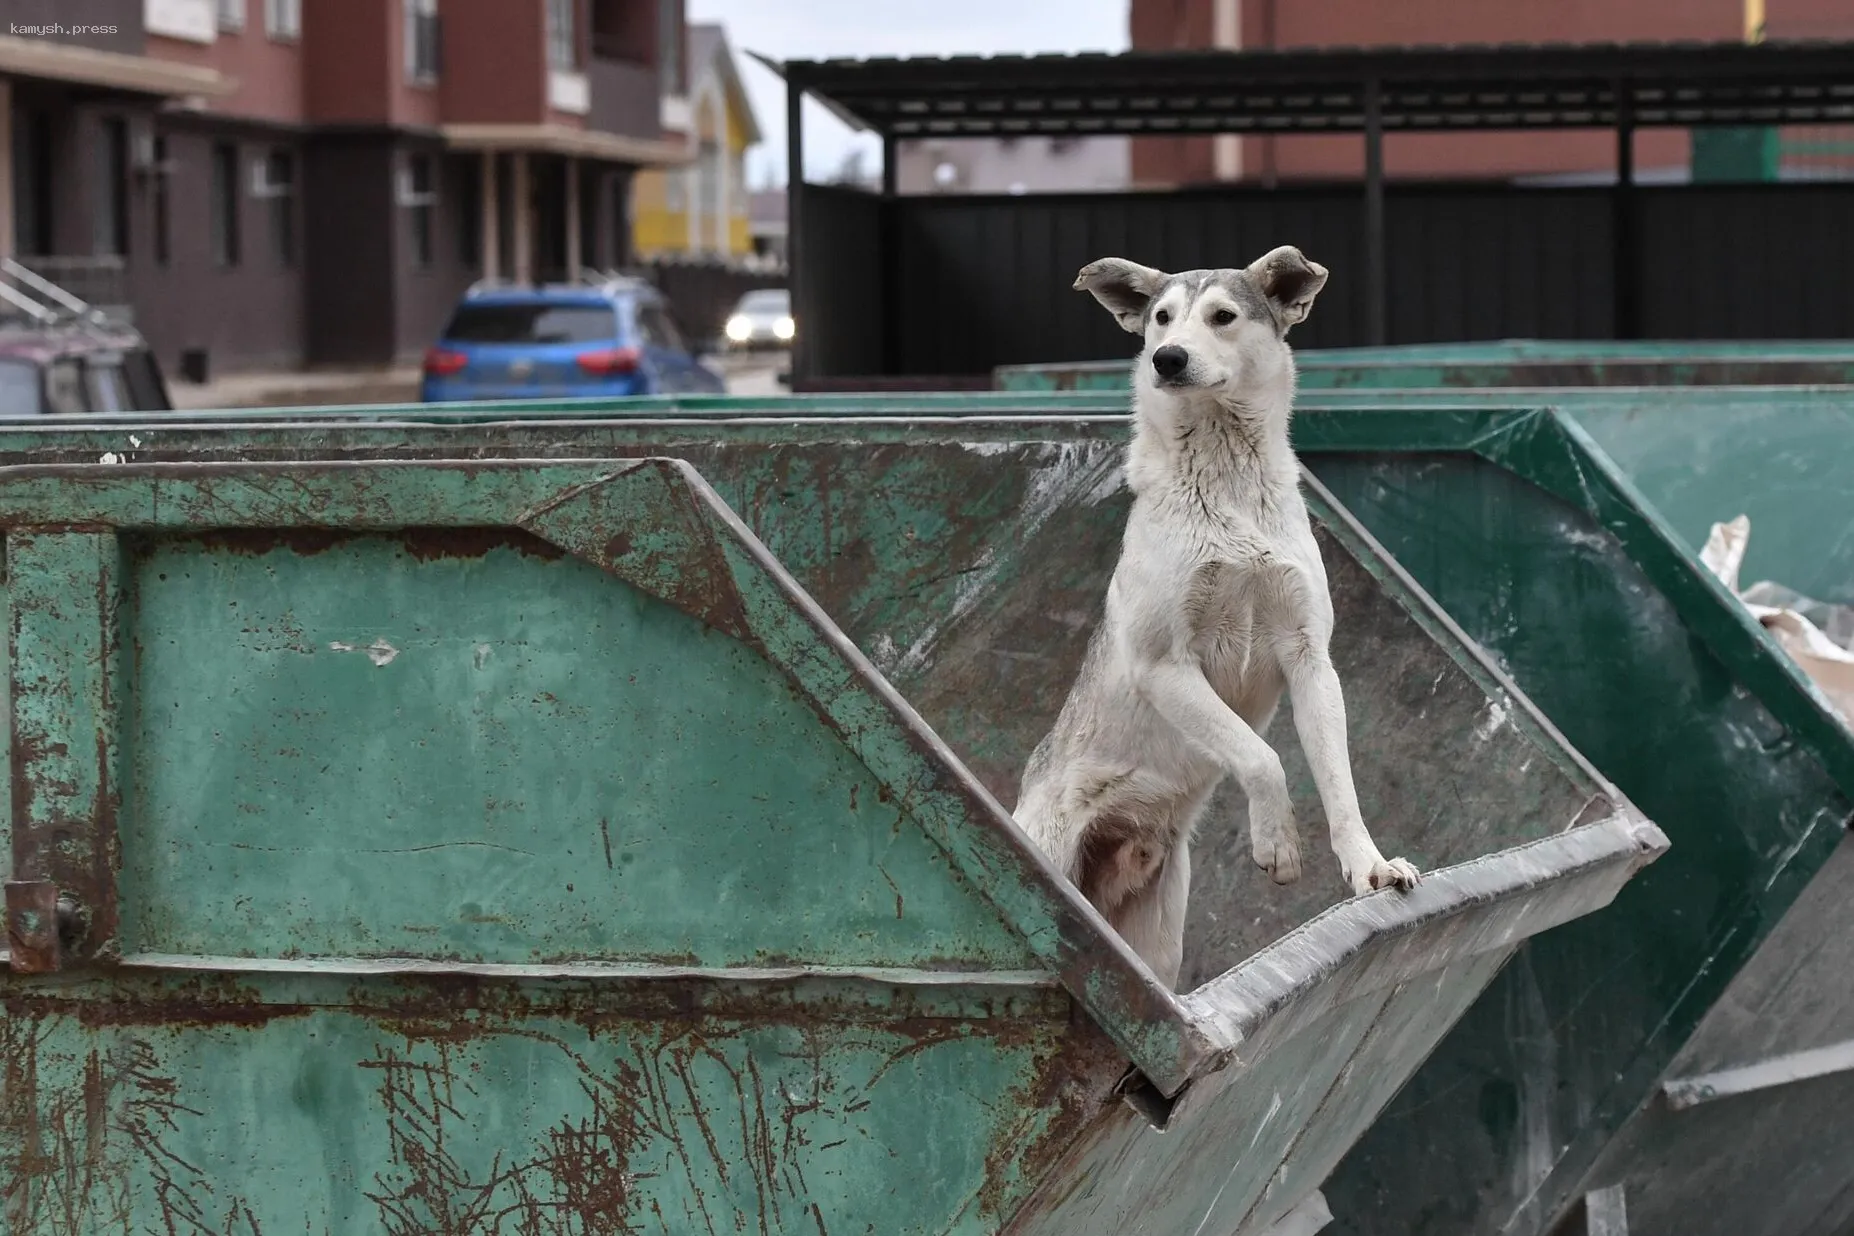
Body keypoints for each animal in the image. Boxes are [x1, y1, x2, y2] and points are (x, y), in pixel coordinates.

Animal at [1015, 246, 1416, 993]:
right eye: (1161, 318)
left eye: (1223, 317)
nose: (1167, 358)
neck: (1227, 483)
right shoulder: (1164, 666)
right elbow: (1261, 757)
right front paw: (1278, 844)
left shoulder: (1310, 658)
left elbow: (1338, 782)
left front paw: (1369, 866)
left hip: (1157, 938)